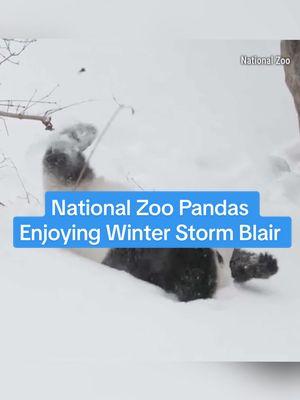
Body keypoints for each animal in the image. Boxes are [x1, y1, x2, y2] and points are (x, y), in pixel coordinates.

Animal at [42, 123, 278, 302]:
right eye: (219, 256)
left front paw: (264, 263)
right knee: (63, 162)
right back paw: (82, 134)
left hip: (76, 187)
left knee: (62, 164)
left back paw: (78, 135)